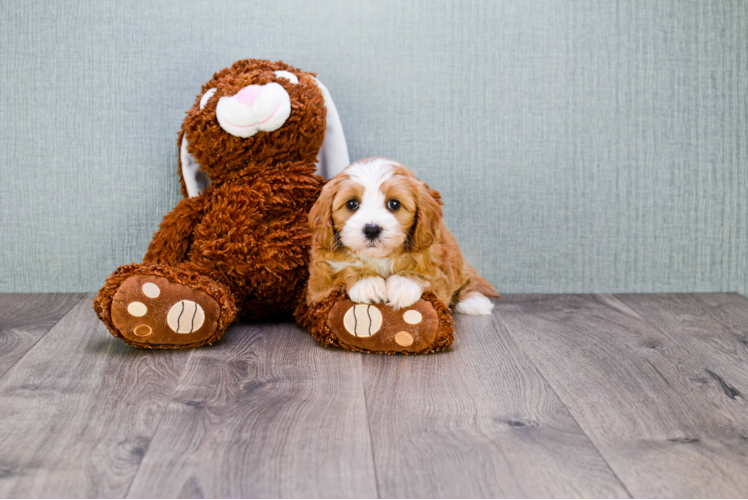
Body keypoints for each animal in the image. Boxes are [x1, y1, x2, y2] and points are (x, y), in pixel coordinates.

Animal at [306, 154, 500, 314]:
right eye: (352, 204)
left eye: (394, 204)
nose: (372, 229)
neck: (379, 257)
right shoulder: (318, 280)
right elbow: (338, 272)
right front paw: (366, 281)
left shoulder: (438, 257)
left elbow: (429, 273)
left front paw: (403, 284)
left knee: (466, 278)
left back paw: (474, 301)